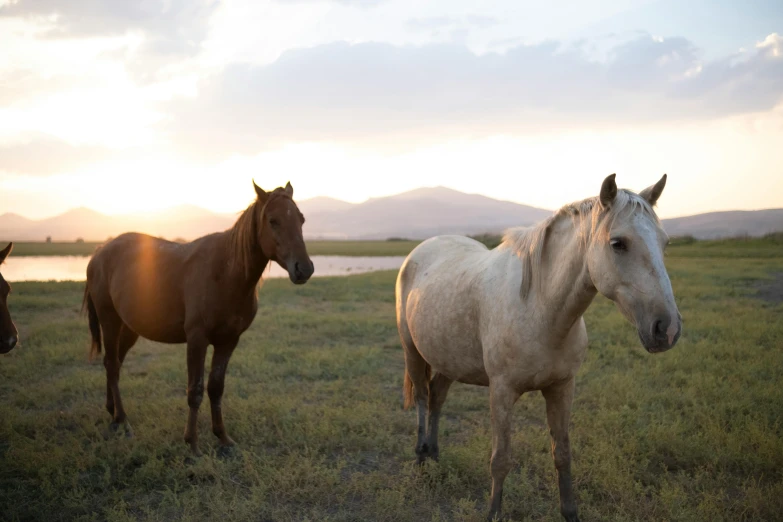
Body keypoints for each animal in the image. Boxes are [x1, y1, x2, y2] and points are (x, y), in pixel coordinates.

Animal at [80, 181, 312, 448]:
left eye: (301, 219)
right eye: (273, 221)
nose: (304, 268)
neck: (225, 273)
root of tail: (99, 252)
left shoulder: (228, 341)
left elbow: (216, 387)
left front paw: (223, 437)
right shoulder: (197, 340)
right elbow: (195, 390)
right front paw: (191, 441)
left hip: (129, 328)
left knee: (114, 363)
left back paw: (112, 412)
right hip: (110, 321)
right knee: (112, 365)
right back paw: (122, 420)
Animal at [396, 175, 684, 520]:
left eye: (665, 243)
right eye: (618, 243)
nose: (667, 328)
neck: (539, 306)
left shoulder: (561, 388)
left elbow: (562, 454)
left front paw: (570, 513)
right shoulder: (501, 391)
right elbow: (501, 460)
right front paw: (493, 513)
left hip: (448, 359)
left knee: (437, 398)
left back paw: (435, 455)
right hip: (412, 351)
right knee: (422, 398)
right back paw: (421, 457)